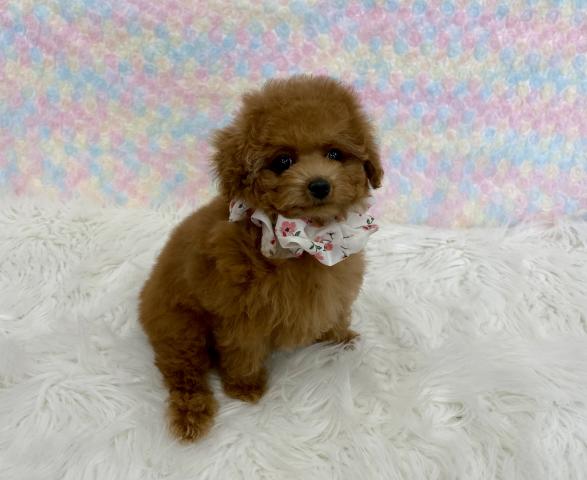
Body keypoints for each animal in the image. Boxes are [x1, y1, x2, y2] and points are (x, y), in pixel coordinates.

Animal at [139, 75, 383, 441]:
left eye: (335, 154)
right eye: (282, 162)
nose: (319, 185)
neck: (306, 239)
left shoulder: (336, 283)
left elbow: (335, 312)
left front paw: (340, 339)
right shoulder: (241, 313)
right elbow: (243, 350)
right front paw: (245, 388)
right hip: (181, 327)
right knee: (184, 372)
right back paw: (192, 416)